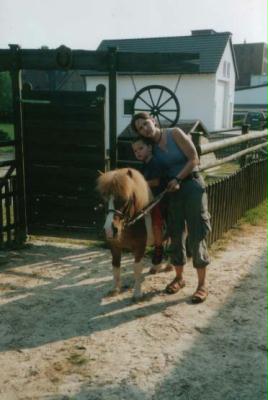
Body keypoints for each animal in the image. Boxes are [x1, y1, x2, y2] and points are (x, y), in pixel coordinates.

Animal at [97, 168, 154, 300]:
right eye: (104, 199)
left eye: (124, 199)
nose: (109, 229)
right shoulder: (114, 246)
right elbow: (115, 266)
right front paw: (115, 289)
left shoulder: (140, 247)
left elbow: (137, 268)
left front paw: (137, 293)